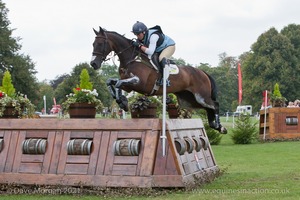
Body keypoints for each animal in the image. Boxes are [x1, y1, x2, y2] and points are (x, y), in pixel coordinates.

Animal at [90, 26, 226, 133]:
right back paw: (215, 126)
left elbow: (118, 83)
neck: (131, 59)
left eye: (100, 44)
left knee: (215, 105)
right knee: (209, 108)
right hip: (189, 100)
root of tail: (203, 72)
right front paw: (122, 101)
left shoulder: (139, 82)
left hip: (201, 97)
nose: (93, 64)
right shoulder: (128, 86)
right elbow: (111, 82)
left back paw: (221, 127)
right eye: (93, 44)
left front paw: (122, 102)